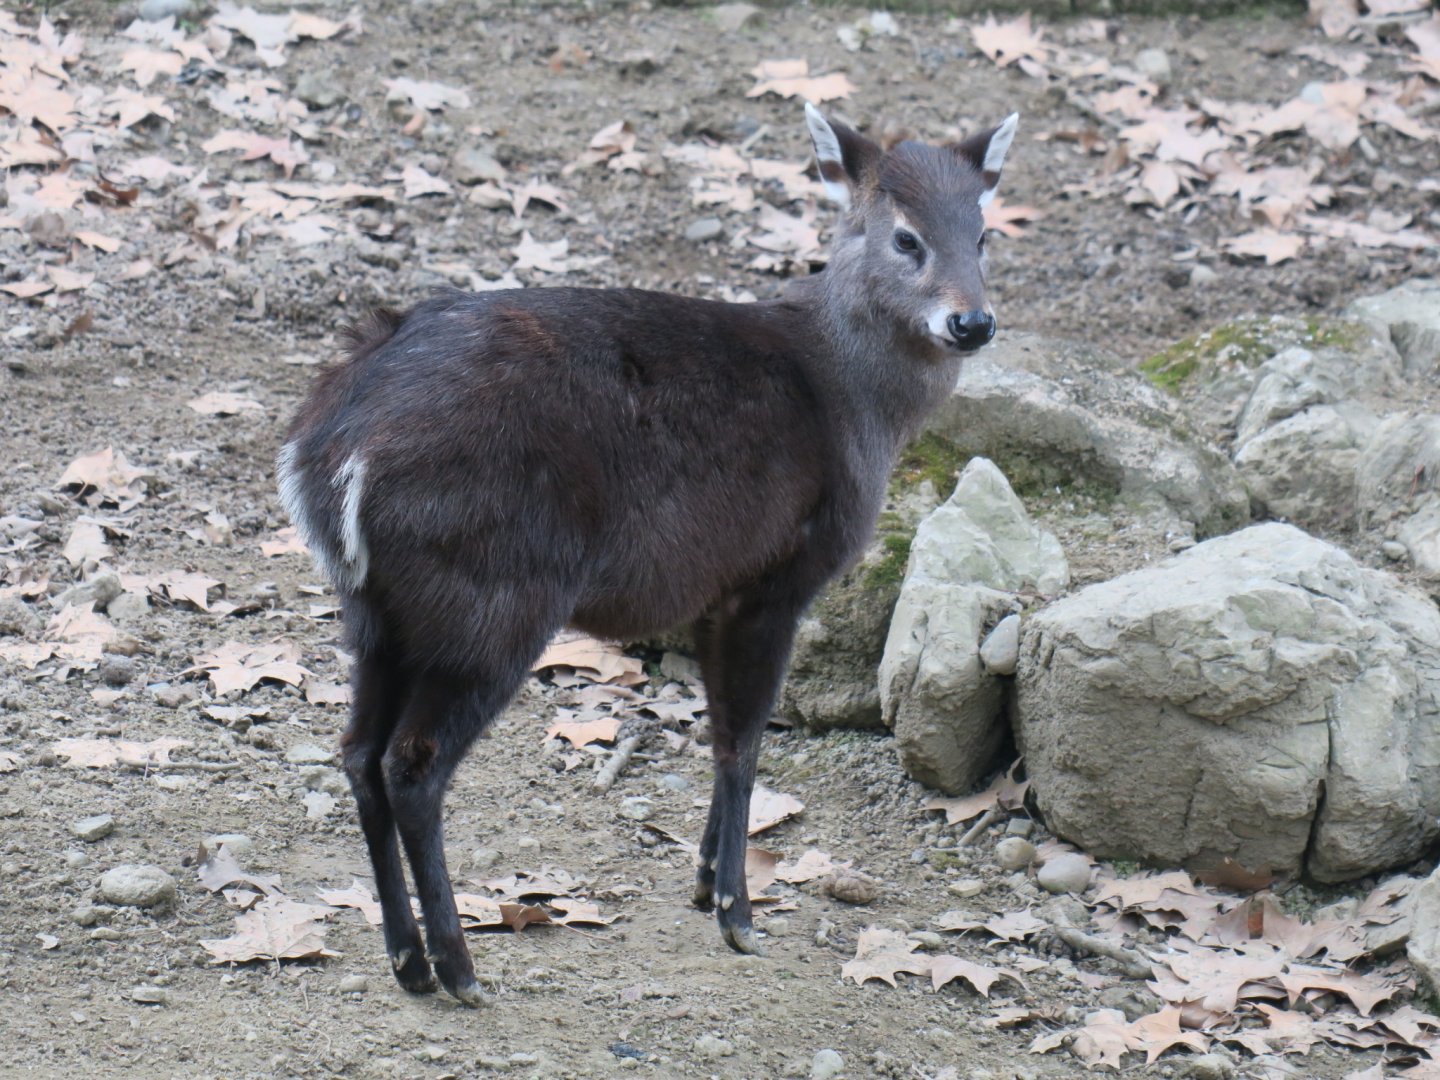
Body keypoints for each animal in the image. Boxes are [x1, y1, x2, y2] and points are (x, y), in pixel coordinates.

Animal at [276, 103, 1019, 1007]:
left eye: (983, 233)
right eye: (907, 237)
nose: (972, 322)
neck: (854, 406)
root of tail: (330, 451)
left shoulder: (712, 588)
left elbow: (722, 730)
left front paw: (702, 883)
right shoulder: (776, 574)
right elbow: (744, 741)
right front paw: (738, 913)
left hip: (377, 609)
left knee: (355, 755)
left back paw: (408, 961)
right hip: (494, 596)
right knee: (410, 765)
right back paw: (458, 966)